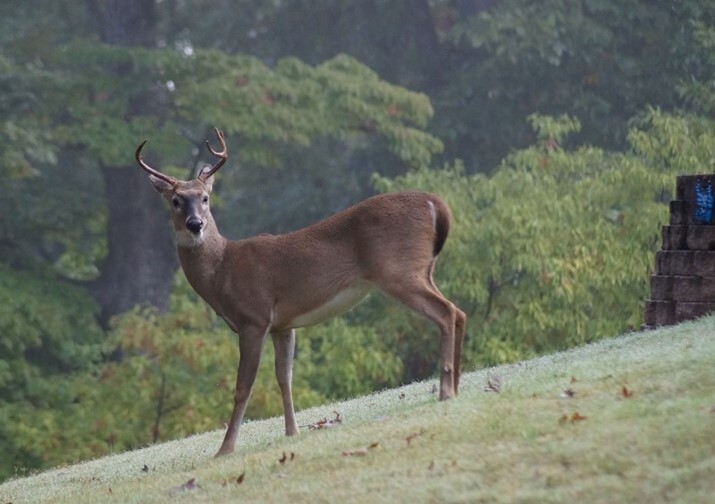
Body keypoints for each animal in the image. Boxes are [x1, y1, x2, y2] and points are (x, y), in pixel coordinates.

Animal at [136, 129, 468, 456]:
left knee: (446, 311)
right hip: (422, 269)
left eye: (205, 198)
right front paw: (292, 432)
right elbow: (285, 377)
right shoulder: (283, 325)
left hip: (397, 270)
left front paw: (225, 449)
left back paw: (445, 391)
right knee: (459, 311)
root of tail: (436, 204)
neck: (222, 271)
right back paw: (456, 385)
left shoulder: (253, 319)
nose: (195, 224)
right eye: (176, 201)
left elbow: (244, 386)